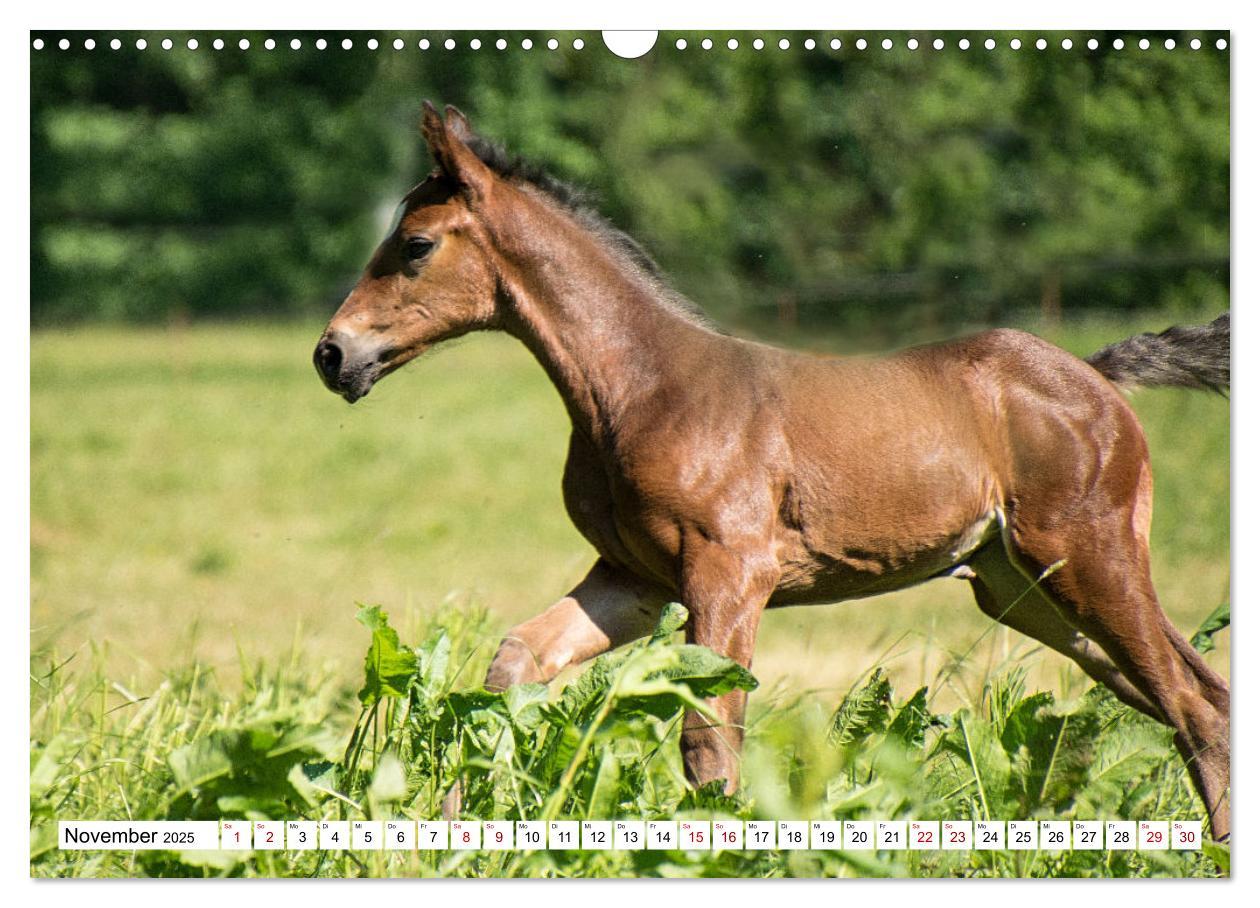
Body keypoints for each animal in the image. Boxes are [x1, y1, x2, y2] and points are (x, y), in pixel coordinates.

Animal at [315, 104, 1229, 836]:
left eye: (415, 245)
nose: (332, 355)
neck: (639, 386)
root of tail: (1096, 378)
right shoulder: (634, 578)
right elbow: (511, 667)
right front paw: (456, 819)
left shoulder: (730, 573)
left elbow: (708, 738)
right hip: (1025, 591)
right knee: (1199, 693)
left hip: (1089, 560)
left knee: (1192, 707)